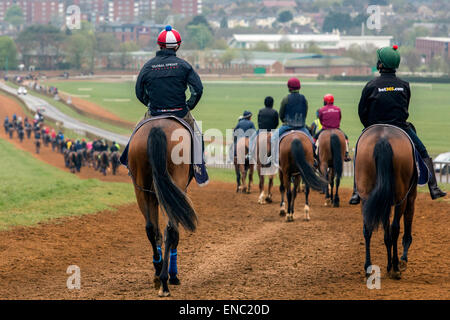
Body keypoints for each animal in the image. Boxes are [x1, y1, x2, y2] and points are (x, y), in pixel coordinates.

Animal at [126, 117, 197, 298]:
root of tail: (157, 128)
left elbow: (155, 230)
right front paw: (174, 276)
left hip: (141, 188)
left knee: (151, 228)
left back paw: (158, 271)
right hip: (176, 180)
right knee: (171, 230)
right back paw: (166, 280)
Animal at [356, 125, 418, 280]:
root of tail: (383, 139)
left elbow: (386, 234)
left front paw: (388, 266)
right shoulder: (410, 197)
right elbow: (402, 229)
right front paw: (401, 262)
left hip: (366, 196)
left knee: (368, 229)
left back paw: (368, 267)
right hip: (401, 198)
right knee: (395, 228)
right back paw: (396, 267)